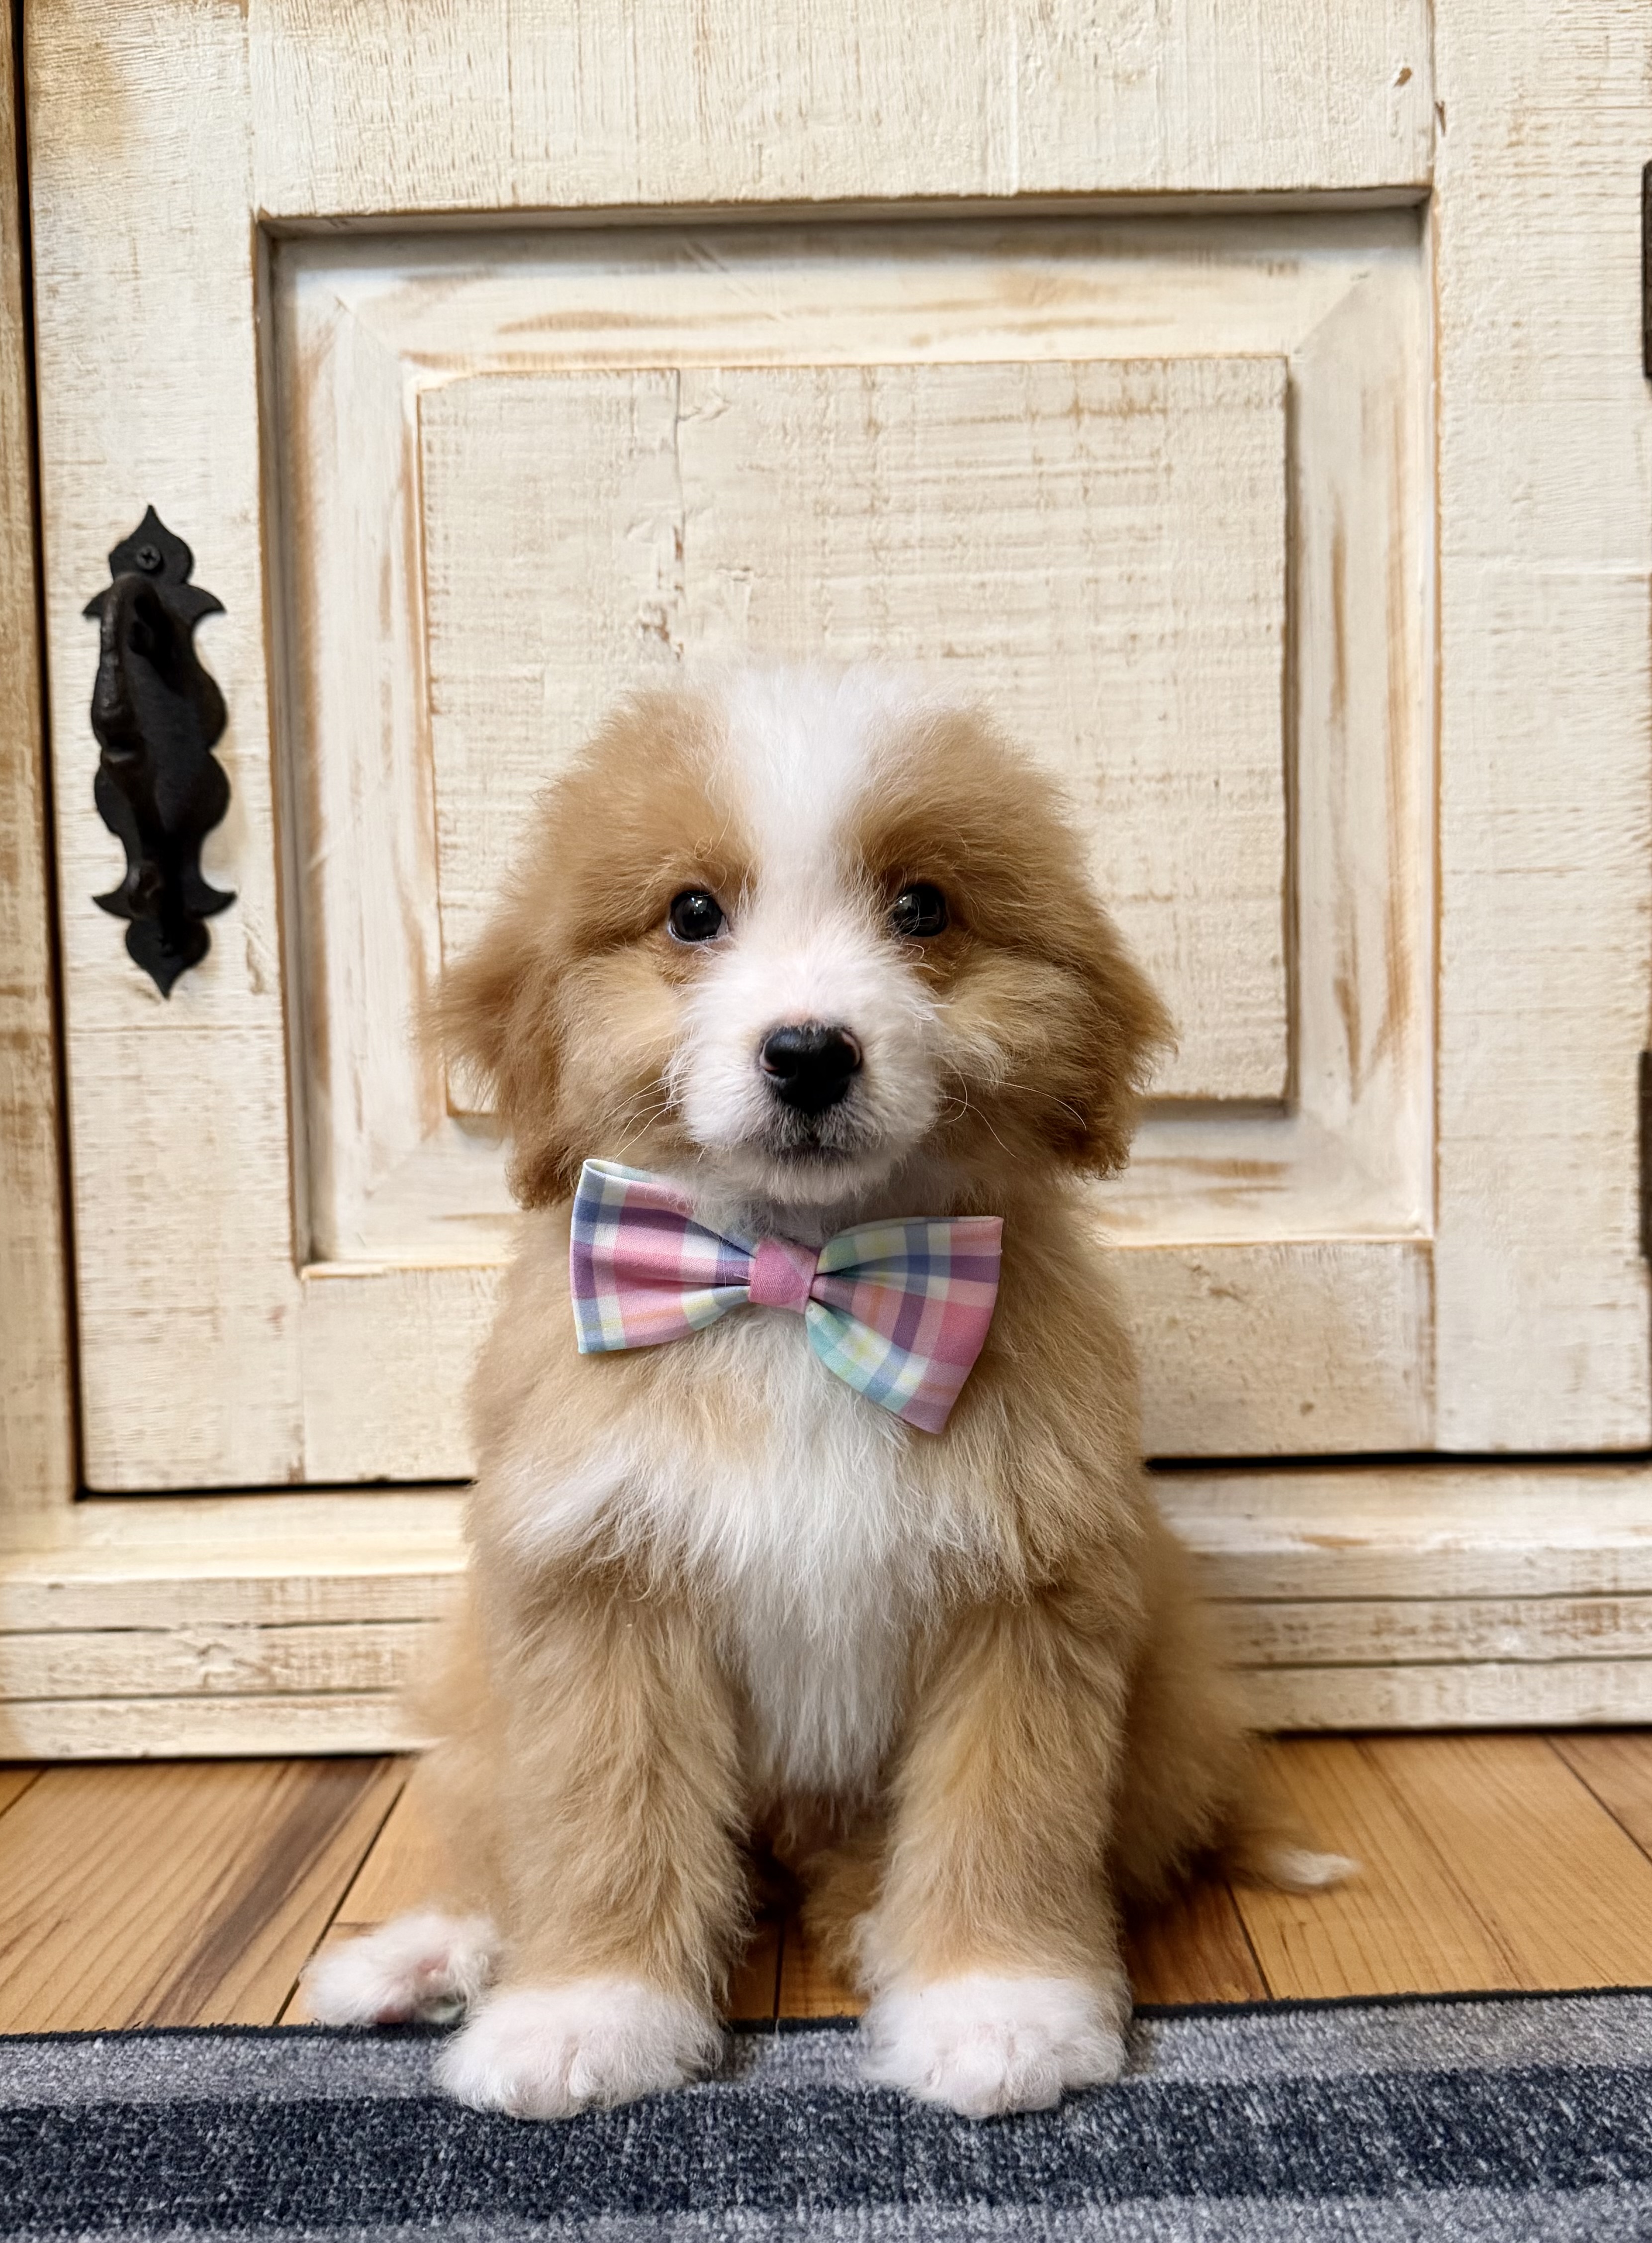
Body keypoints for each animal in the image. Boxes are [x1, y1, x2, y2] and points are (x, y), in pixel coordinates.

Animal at [306, 664, 1345, 2119]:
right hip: (478, 1683)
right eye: (692, 914)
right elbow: (597, 1812)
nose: (807, 1050)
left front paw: (995, 2002)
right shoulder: (597, 1584)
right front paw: (586, 2010)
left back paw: (871, 1919)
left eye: (922, 908)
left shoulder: (1022, 1597)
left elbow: (1005, 1811)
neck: (797, 1286)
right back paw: (427, 1950)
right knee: (492, 1827)